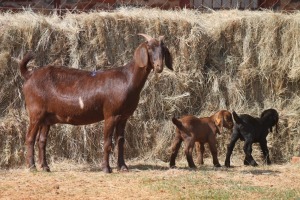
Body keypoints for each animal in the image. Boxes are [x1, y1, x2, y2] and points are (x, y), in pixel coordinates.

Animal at [19, 33, 172, 173]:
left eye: (163, 50)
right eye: (149, 48)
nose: (159, 66)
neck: (127, 79)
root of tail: (29, 74)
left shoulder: (123, 117)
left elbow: (120, 141)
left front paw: (123, 167)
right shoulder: (111, 115)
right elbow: (108, 142)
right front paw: (106, 168)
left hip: (47, 117)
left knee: (42, 141)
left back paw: (45, 167)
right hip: (36, 113)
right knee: (30, 138)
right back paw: (31, 166)